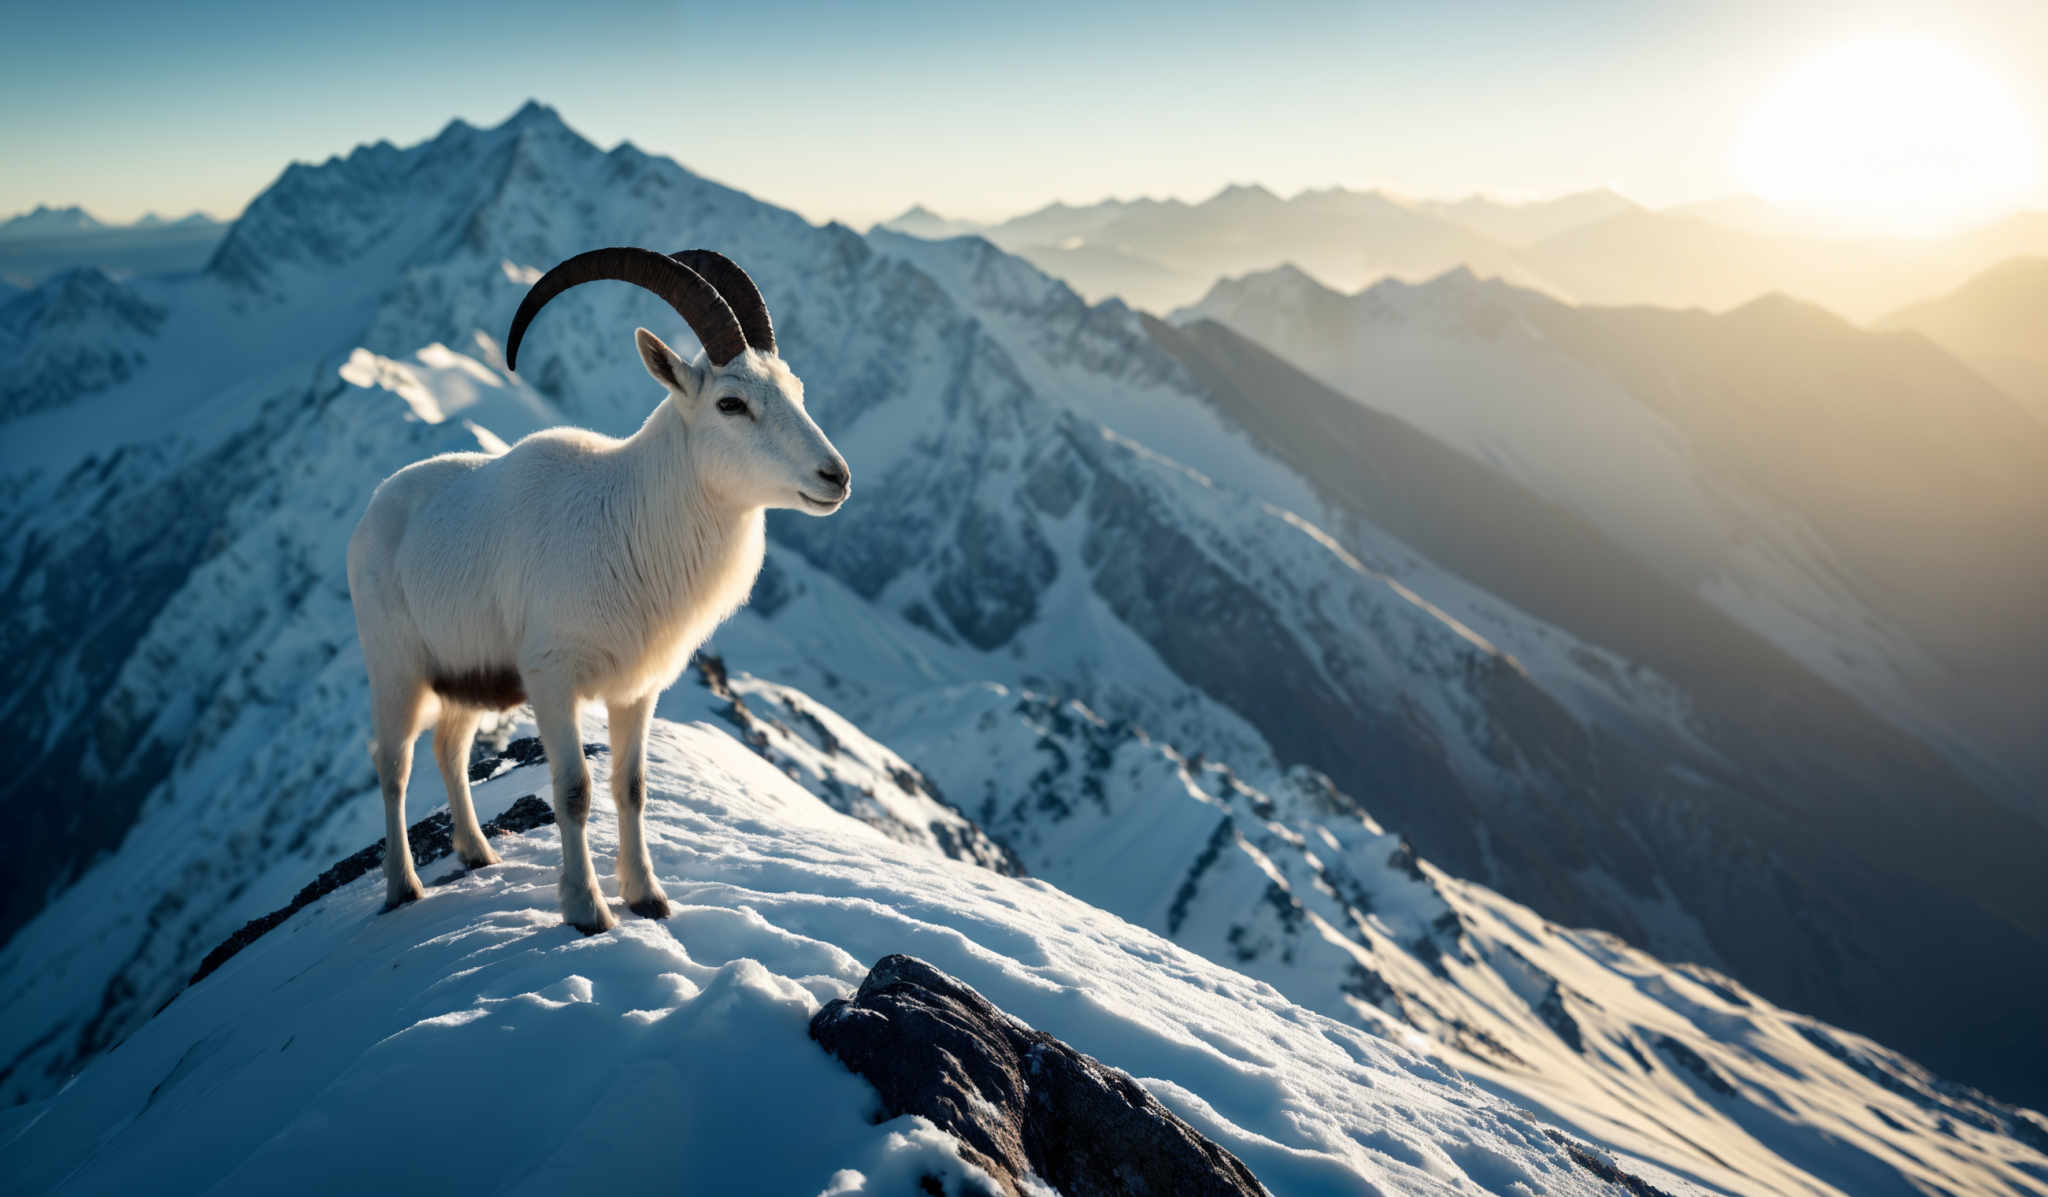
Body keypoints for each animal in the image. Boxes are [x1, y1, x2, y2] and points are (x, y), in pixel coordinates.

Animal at [348, 245, 843, 934]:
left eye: (795, 390)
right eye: (731, 404)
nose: (835, 476)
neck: (627, 527)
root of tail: (374, 510)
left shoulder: (635, 692)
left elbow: (630, 788)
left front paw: (647, 896)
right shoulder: (553, 681)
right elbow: (575, 790)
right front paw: (587, 910)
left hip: (466, 679)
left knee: (450, 747)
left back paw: (478, 854)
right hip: (396, 672)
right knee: (394, 767)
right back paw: (404, 886)